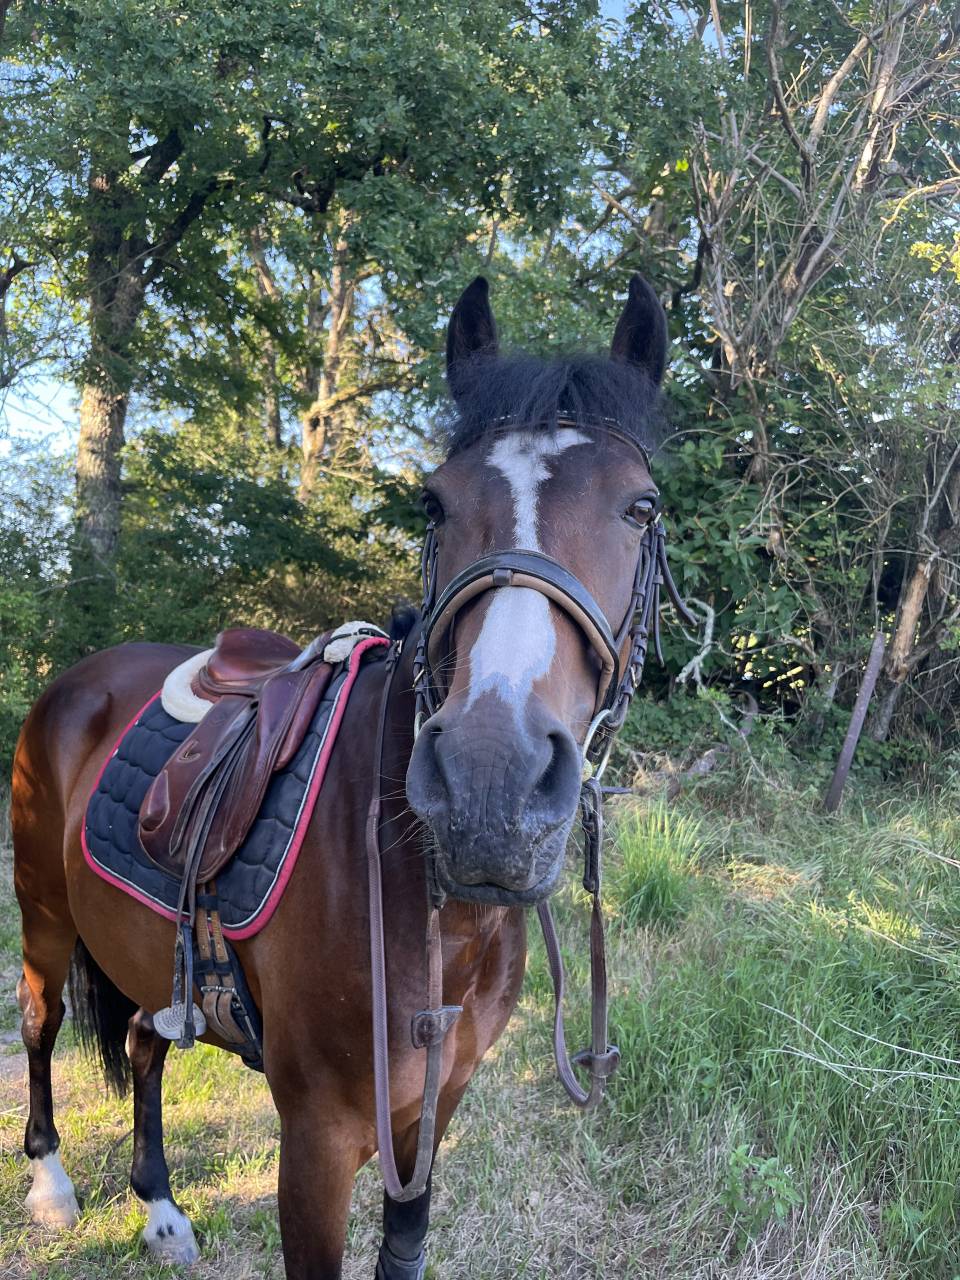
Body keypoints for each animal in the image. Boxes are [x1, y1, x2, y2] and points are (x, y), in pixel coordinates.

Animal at [11, 272, 671, 1278]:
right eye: (433, 504)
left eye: (641, 508)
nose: (490, 780)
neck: (431, 903)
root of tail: (79, 677)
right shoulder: (317, 1140)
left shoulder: (434, 1105)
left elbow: (403, 1247)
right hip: (44, 917)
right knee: (39, 1026)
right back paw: (50, 1184)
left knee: (140, 1043)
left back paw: (160, 1210)